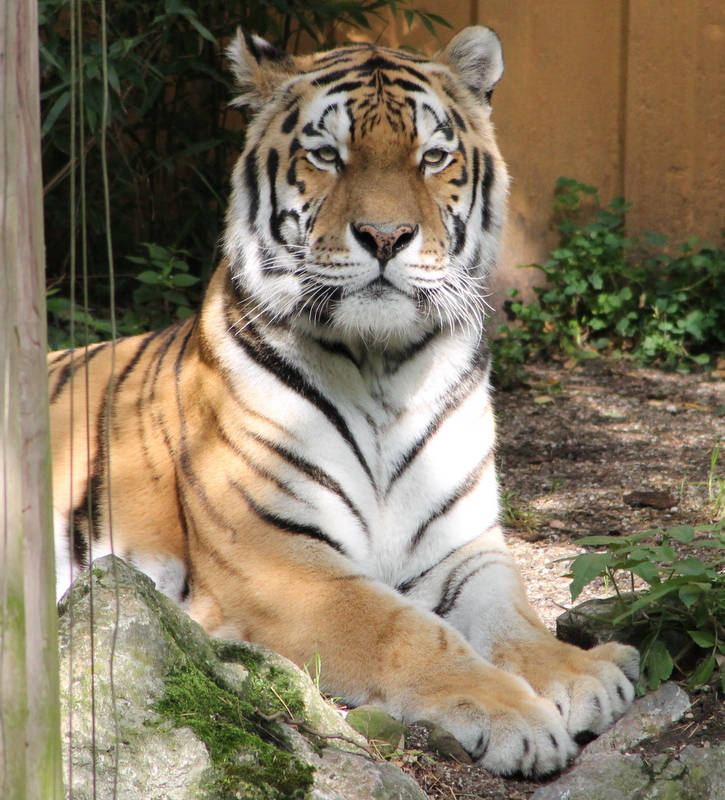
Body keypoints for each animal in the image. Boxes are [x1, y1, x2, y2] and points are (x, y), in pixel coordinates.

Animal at [48, 25, 636, 776]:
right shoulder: (275, 561)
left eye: (432, 157)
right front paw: (513, 714)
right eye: (327, 155)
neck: (385, 369)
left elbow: (512, 616)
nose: (385, 238)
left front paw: (581, 673)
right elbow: (404, 629)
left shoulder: (463, 544)